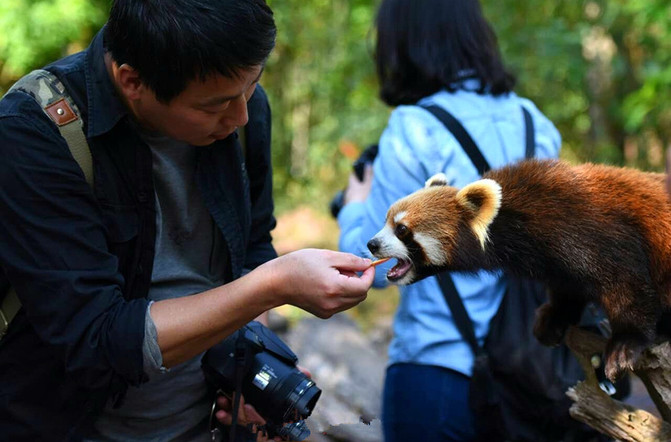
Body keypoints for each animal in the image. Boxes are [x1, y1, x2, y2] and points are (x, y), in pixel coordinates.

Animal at [368, 160, 671, 384]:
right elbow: (568, 289)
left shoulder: (595, 233)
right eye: (385, 221)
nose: (372, 244)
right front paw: (554, 317)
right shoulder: (560, 264)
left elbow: (627, 284)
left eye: (402, 229)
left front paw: (625, 343)